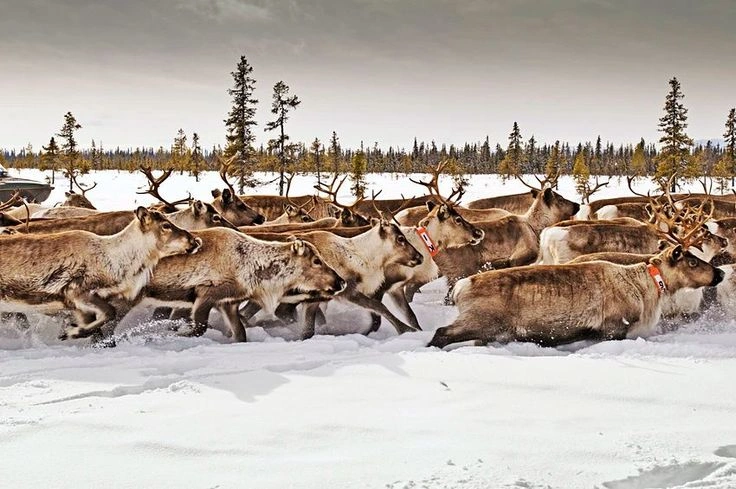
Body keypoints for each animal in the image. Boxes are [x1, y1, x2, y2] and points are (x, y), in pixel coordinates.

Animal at [0, 207, 202, 340]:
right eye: (166, 225)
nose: (195, 240)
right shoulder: (76, 292)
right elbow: (110, 313)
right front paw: (72, 332)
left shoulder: (77, 305)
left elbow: (98, 329)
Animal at [429, 244, 724, 349]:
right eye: (693, 262)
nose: (720, 273)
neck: (648, 286)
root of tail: (460, 287)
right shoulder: (614, 327)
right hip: (481, 321)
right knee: (441, 332)